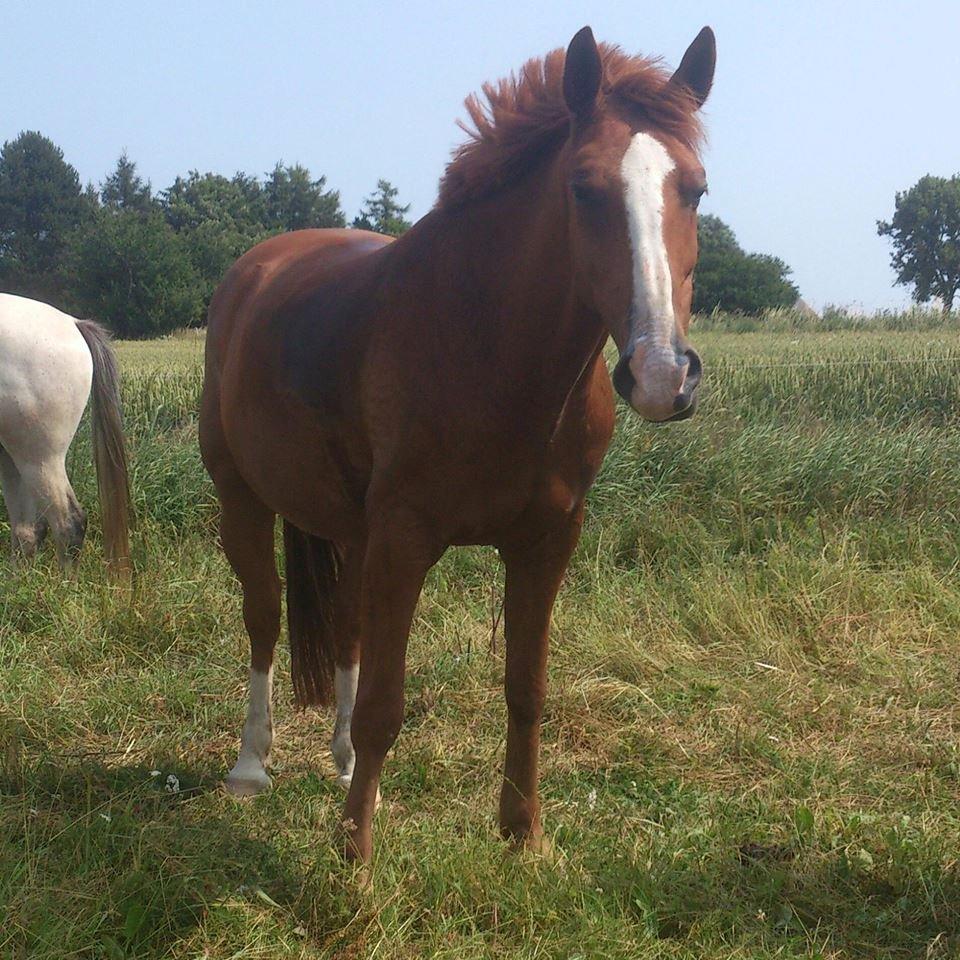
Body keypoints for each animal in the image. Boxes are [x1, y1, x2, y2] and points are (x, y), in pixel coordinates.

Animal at [201, 24, 712, 864]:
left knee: (344, 625)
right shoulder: (406, 536)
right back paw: (252, 765)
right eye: (583, 189)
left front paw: (521, 835)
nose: (662, 375)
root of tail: (259, 266)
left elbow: (526, 689)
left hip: (352, 528)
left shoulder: (546, 540)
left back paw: (345, 765)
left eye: (695, 189)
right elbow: (386, 702)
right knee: (264, 615)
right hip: (241, 498)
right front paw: (355, 855)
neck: (490, 345)